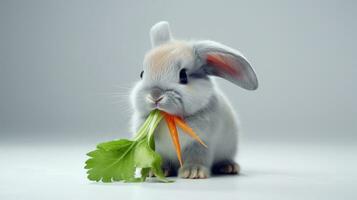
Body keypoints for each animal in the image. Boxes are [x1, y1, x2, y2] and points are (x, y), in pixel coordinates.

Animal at [129, 21, 258, 179]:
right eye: (142, 74)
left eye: (183, 76)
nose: (155, 95)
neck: (168, 119)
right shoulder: (157, 149)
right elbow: (160, 160)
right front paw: (155, 171)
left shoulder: (200, 144)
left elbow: (196, 158)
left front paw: (193, 172)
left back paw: (229, 167)